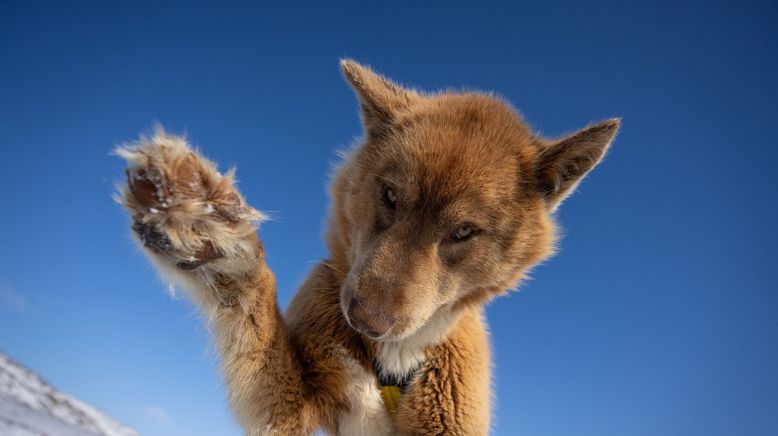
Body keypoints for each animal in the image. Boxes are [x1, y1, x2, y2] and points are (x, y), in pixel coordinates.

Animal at [115, 59, 620, 434]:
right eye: (391, 195)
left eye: (464, 232)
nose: (365, 320)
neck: (394, 361)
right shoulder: (299, 404)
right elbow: (255, 319)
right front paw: (206, 226)